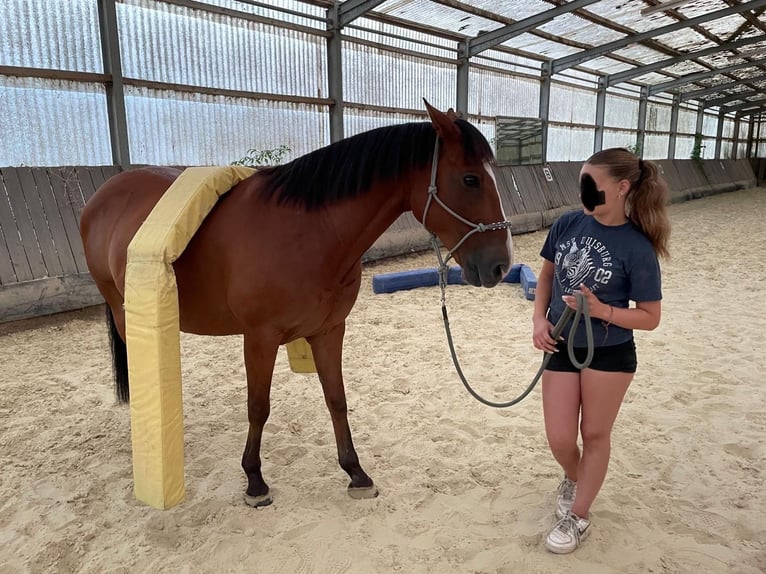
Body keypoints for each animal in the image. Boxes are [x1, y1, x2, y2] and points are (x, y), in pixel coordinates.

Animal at [79, 102, 516, 508]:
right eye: (471, 179)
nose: (500, 264)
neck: (310, 232)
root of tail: (104, 194)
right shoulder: (259, 338)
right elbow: (258, 407)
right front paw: (255, 481)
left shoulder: (329, 331)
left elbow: (337, 400)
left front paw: (356, 473)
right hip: (124, 312)